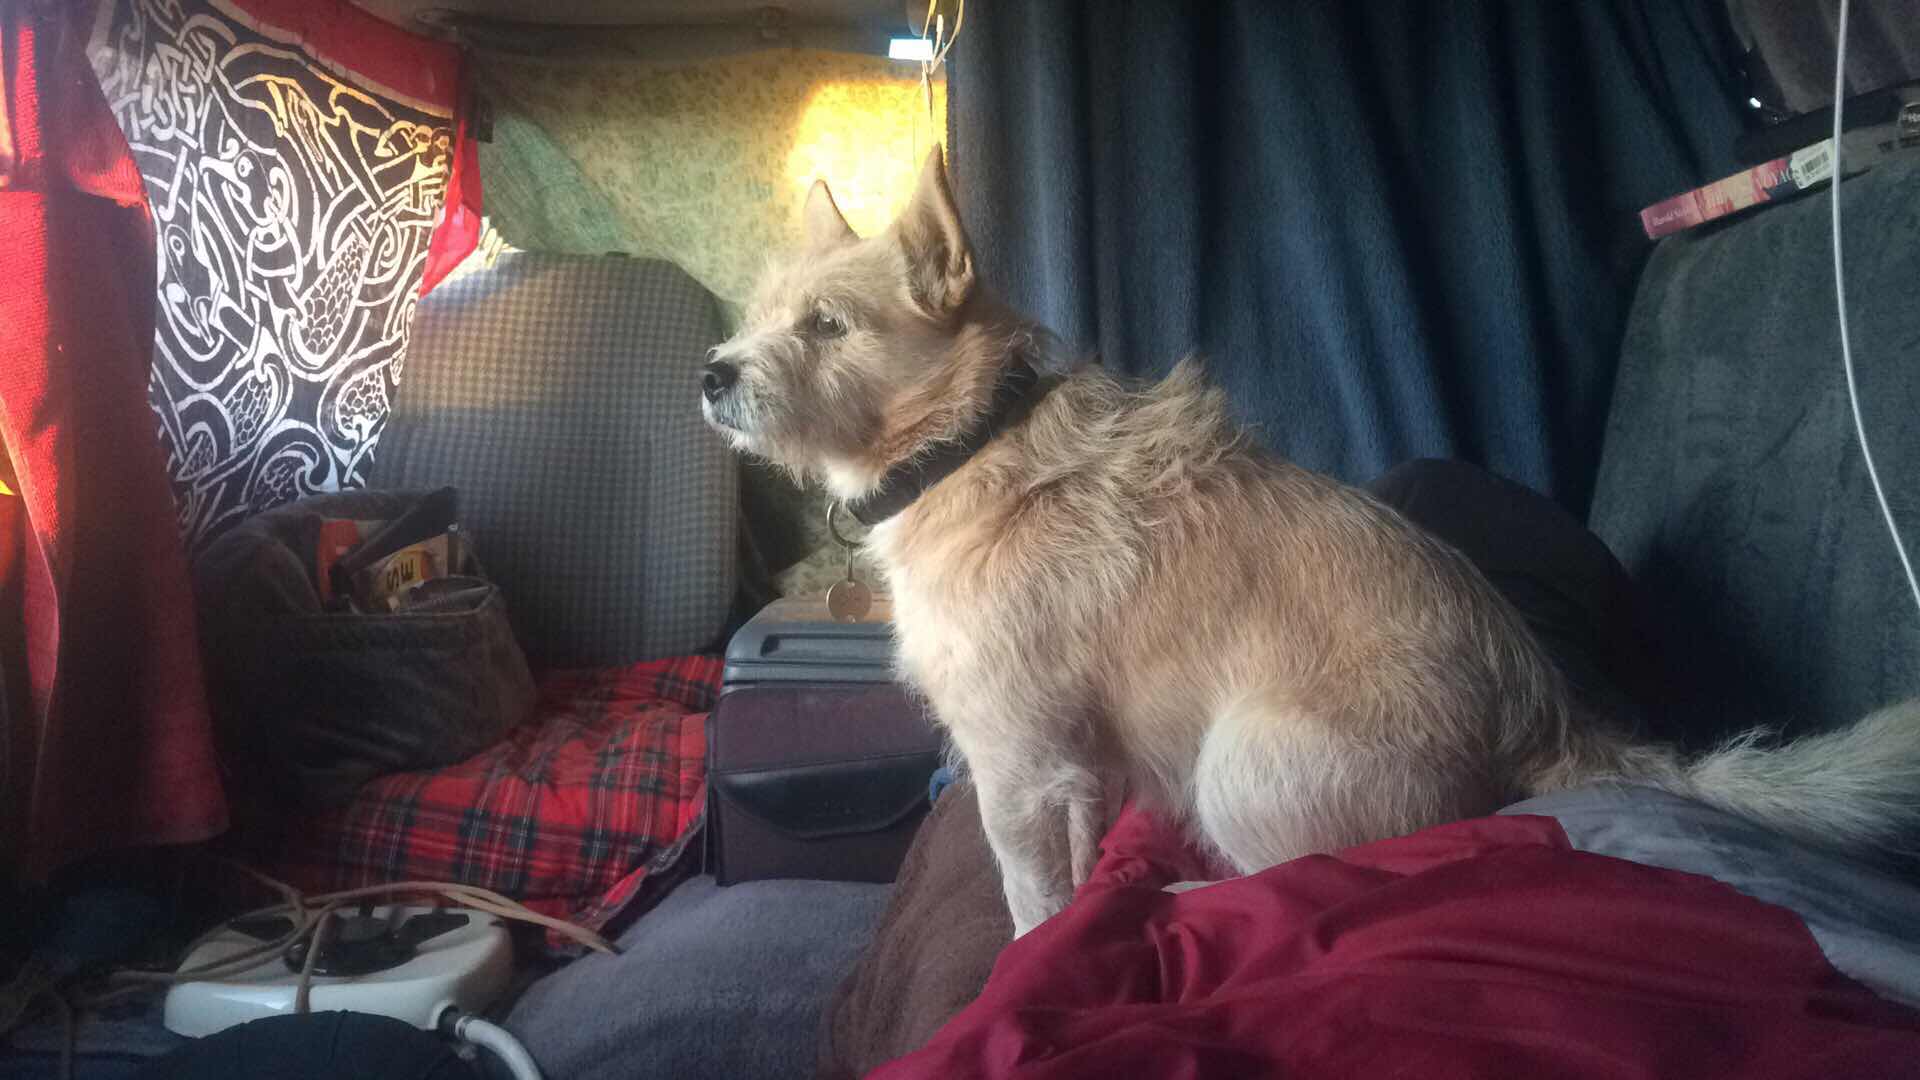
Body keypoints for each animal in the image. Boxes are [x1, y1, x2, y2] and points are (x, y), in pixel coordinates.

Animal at [703, 147, 1920, 936]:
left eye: (828, 327)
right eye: (758, 321)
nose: (712, 374)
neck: (967, 442)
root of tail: (1553, 726)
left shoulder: (1016, 763)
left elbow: (1033, 898)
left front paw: (1042, 950)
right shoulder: (1072, 763)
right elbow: (1082, 853)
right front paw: (1095, 893)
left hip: (1237, 760)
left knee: (1341, 872)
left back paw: (1198, 894)